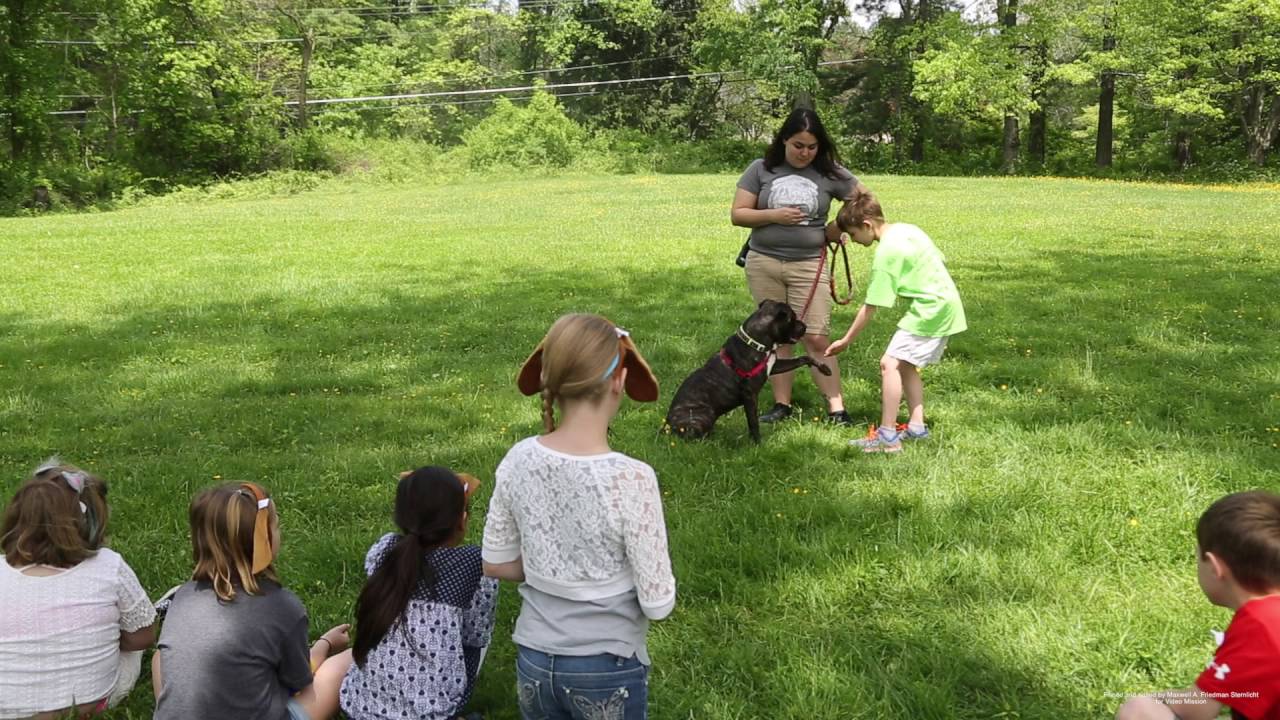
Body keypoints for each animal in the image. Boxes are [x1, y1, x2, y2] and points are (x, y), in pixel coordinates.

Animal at [665, 298, 834, 443]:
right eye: (792, 319)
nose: (804, 326)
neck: (757, 343)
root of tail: (666, 425)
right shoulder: (750, 395)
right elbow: (753, 422)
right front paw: (758, 443)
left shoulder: (774, 366)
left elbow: (803, 358)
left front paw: (824, 368)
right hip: (704, 414)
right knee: (692, 437)